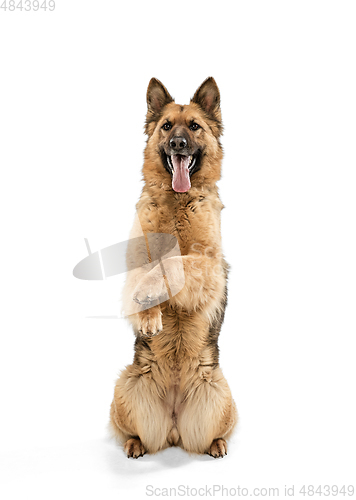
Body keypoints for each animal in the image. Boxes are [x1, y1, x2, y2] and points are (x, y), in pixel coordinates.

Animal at [108, 77, 236, 458]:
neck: (179, 201)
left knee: (215, 433)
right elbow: (147, 271)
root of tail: (175, 427)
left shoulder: (209, 264)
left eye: (194, 127)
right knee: (131, 431)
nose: (178, 143)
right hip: (124, 385)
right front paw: (148, 314)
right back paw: (134, 444)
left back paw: (217, 444)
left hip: (221, 394)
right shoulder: (135, 263)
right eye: (166, 127)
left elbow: (174, 261)